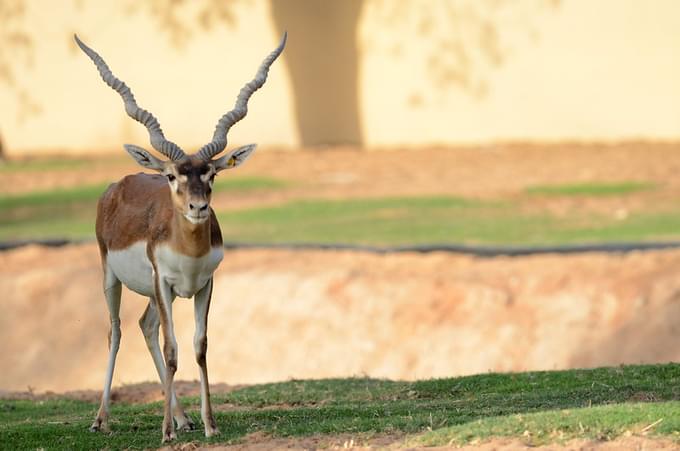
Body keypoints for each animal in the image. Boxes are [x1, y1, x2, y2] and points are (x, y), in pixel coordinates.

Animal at [75, 33, 286, 444]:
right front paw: (166, 433)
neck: (189, 249)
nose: (198, 207)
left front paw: (208, 424)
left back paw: (183, 418)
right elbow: (172, 349)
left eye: (211, 174)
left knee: (146, 326)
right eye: (172, 175)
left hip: (159, 295)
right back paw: (101, 419)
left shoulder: (204, 284)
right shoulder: (165, 282)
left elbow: (199, 346)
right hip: (113, 277)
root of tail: (119, 184)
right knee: (116, 331)